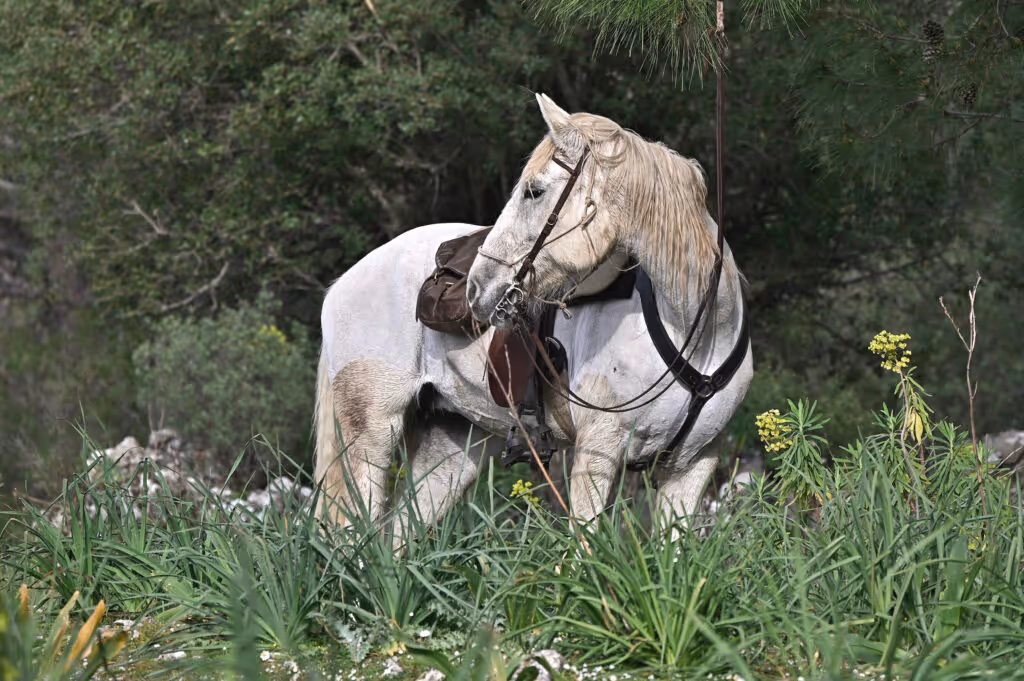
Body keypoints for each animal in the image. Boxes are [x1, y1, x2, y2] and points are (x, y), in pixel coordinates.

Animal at [313, 93, 752, 537]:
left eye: (534, 191)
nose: (476, 289)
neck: (693, 329)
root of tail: (340, 285)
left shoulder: (692, 467)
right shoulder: (598, 451)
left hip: (453, 445)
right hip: (371, 435)